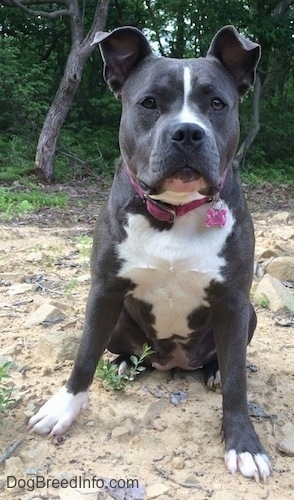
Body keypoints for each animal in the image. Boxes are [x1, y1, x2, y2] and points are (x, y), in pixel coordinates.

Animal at [29, 24, 272, 480]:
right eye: (149, 103)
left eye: (217, 103)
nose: (188, 132)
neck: (174, 212)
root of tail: (172, 361)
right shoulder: (104, 290)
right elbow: (84, 353)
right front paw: (63, 408)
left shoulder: (233, 301)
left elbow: (237, 383)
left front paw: (244, 444)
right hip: (121, 319)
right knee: (116, 348)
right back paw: (126, 363)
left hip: (248, 315)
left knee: (223, 362)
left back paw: (211, 369)